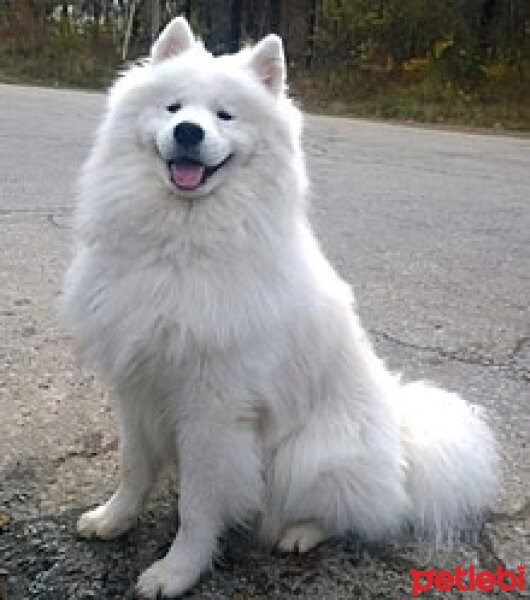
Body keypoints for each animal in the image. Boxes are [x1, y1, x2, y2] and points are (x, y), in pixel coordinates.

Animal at [64, 16, 498, 600]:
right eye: (174, 108)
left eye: (225, 115)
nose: (188, 133)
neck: (180, 242)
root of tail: (403, 446)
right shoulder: (135, 385)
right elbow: (133, 468)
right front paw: (113, 520)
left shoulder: (212, 407)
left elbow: (197, 507)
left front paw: (177, 572)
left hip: (309, 454)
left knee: (355, 513)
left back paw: (299, 533)